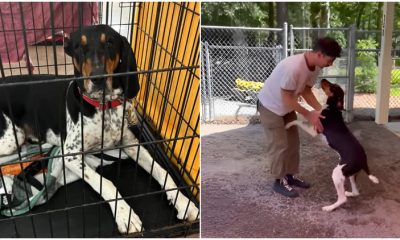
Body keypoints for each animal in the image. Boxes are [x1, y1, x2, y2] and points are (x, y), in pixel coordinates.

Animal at [0, 25, 198, 233]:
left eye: (110, 42)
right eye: (79, 47)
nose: (98, 78)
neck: (104, 107)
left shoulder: (131, 143)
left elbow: (162, 171)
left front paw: (183, 202)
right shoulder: (70, 155)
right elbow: (106, 183)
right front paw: (124, 214)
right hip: (11, 139)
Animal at [286, 79, 376, 212]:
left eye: (333, 87)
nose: (323, 79)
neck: (333, 108)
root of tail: (364, 160)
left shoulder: (314, 130)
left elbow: (298, 121)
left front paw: (288, 124)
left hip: (337, 174)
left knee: (342, 199)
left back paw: (329, 207)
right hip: (350, 174)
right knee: (355, 192)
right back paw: (350, 193)